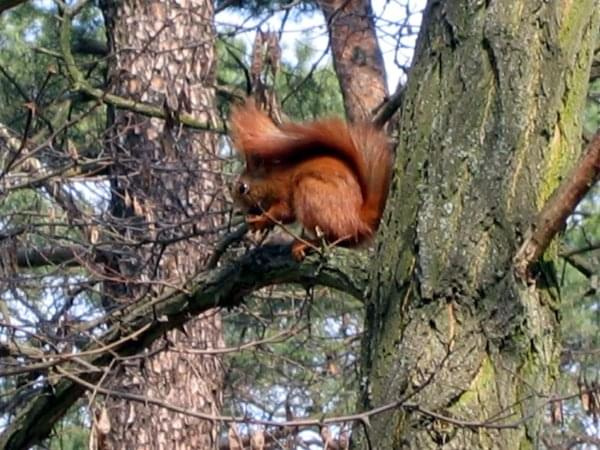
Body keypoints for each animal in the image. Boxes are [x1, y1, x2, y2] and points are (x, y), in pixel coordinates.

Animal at [227, 101, 392, 260]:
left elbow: (282, 212)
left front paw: (259, 220)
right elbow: (287, 217)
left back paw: (306, 244)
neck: (272, 179)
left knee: (333, 237)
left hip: (312, 192)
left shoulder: (283, 191)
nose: (238, 211)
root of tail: (359, 221)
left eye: (242, 188)